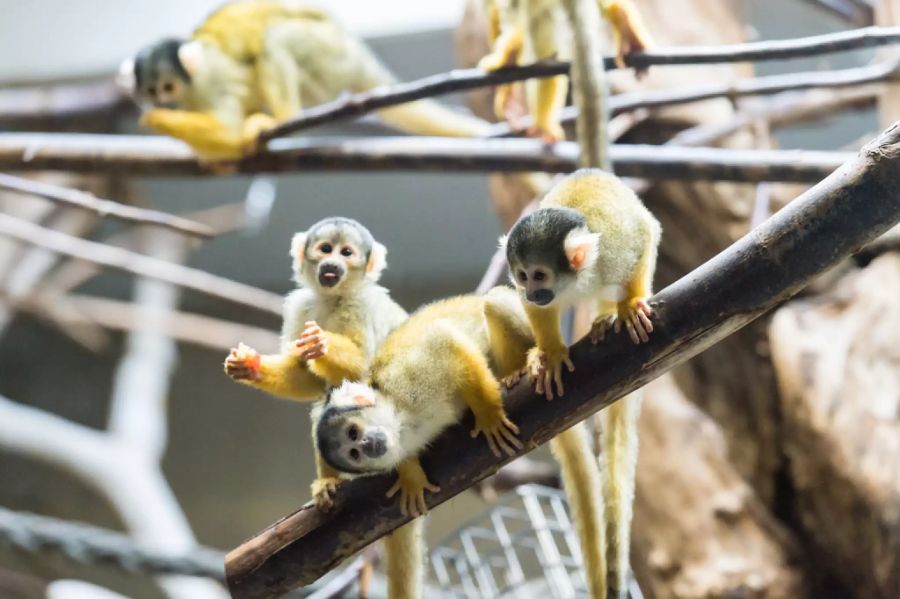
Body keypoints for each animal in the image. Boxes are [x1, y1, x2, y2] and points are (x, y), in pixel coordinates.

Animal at [116, 0, 496, 161]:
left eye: (169, 88)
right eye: (152, 91)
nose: (164, 102)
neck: (191, 88)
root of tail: (354, 49)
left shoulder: (212, 81)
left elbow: (230, 131)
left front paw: (155, 119)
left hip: (328, 56)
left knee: (275, 40)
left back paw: (282, 120)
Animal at [506, 169, 660, 599]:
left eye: (539, 274)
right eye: (521, 276)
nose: (530, 289)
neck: (575, 279)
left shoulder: (615, 249)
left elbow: (646, 235)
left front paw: (630, 305)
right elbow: (538, 312)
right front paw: (550, 355)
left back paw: (610, 315)